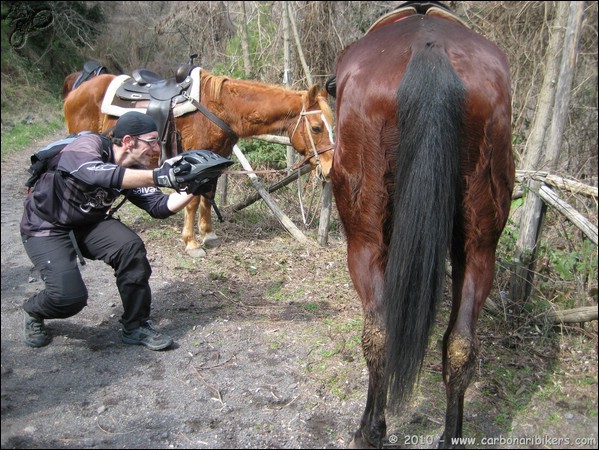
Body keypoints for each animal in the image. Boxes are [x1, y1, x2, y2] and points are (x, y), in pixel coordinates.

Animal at [63, 68, 336, 255]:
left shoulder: (217, 159)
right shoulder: (194, 161)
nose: (329, 168)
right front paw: (192, 242)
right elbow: (193, 200)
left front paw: (208, 234)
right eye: (316, 127)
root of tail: (77, 90)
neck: (221, 108)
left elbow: (208, 195)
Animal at [330, 4, 512, 450]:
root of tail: (430, 49)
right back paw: (451, 436)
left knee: (379, 331)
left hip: (364, 239)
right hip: (480, 245)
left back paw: (370, 430)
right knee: (461, 344)